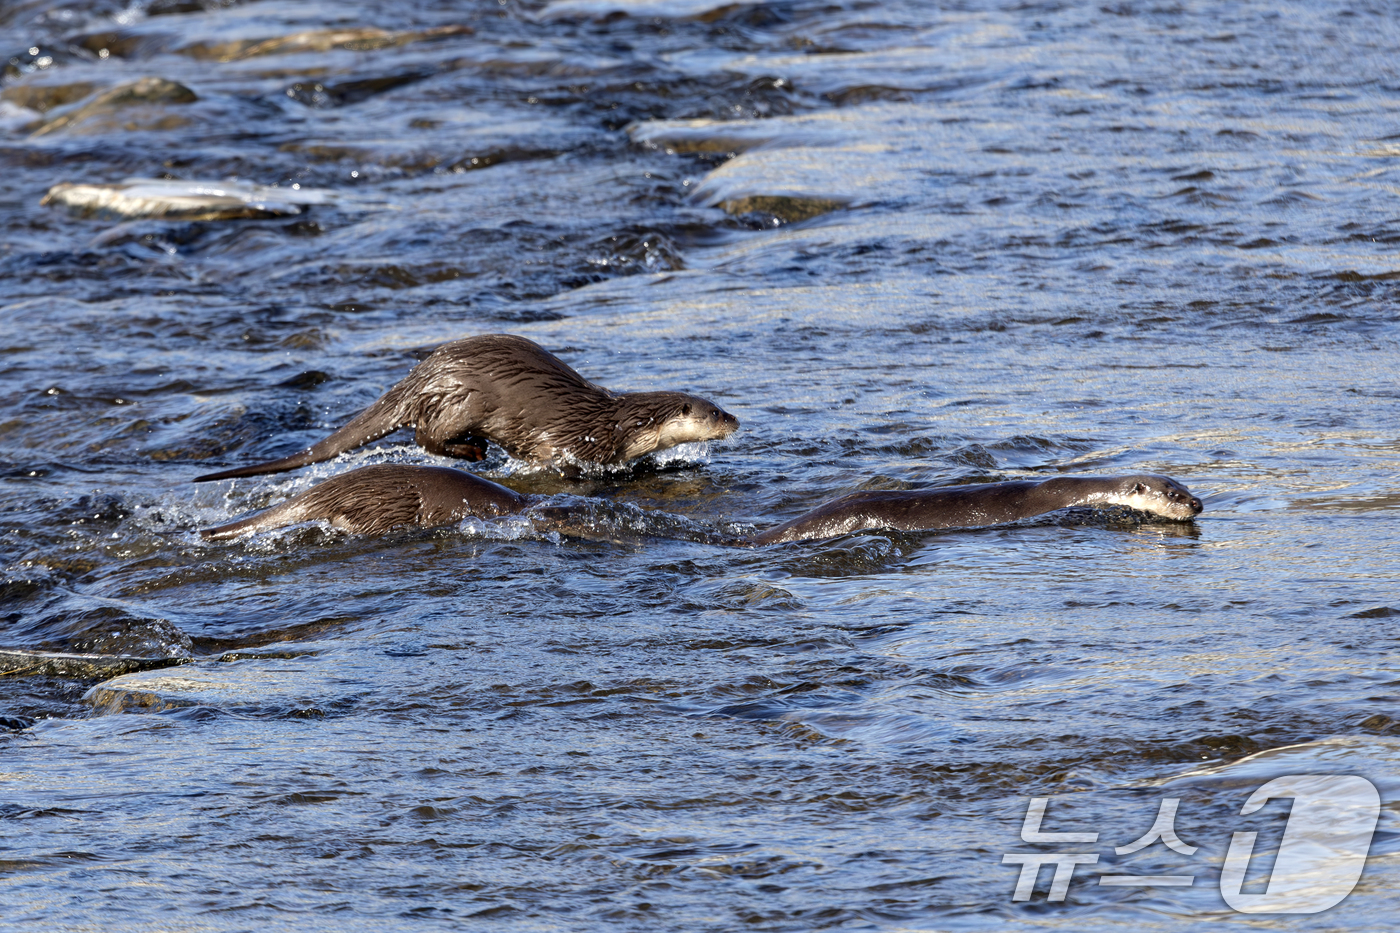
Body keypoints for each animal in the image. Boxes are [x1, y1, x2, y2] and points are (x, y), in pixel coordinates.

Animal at [200, 332, 744, 479]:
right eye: (715, 413)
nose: (737, 420)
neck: (610, 423)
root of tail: (421, 377)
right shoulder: (566, 441)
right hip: (461, 399)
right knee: (426, 437)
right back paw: (474, 451)